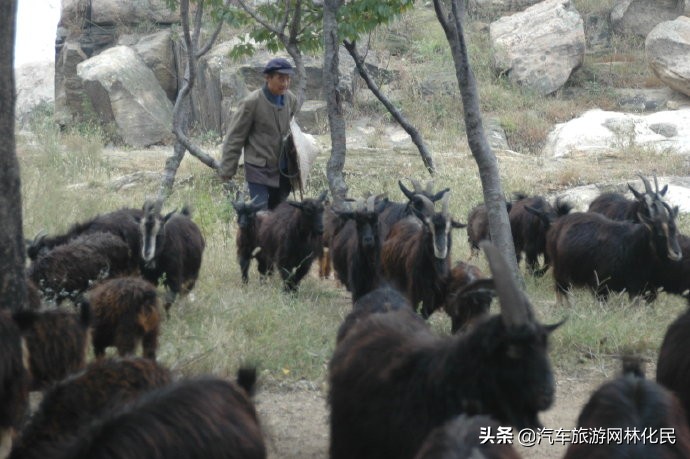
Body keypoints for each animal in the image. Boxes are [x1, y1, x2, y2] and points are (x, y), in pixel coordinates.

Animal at [544, 197, 680, 302]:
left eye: (675, 231)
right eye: (660, 233)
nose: (677, 253)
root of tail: (559, 222)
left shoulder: (641, 288)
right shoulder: (600, 286)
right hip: (561, 273)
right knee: (561, 293)